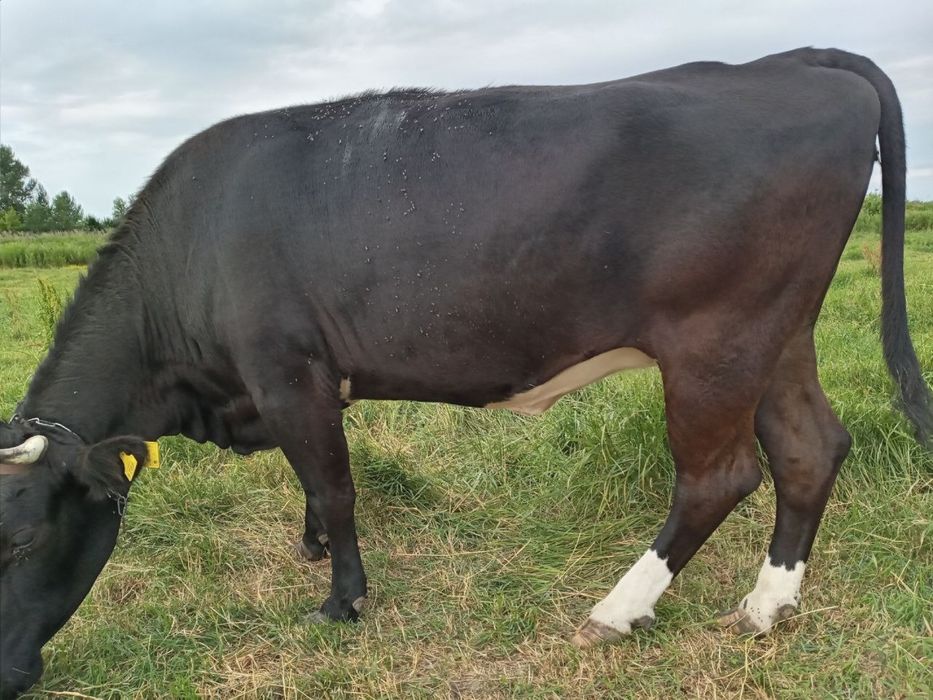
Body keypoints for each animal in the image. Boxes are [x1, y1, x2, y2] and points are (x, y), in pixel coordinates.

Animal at [1, 46, 930, 698]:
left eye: (20, 539)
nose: (8, 676)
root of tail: (789, 60)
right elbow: (312, 484)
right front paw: (311, 547)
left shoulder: (287, 370)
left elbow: (334, 484)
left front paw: (341, 599)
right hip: (780, 334)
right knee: (808, 449)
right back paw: (766, 606)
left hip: (713, 342)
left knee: (719, 476)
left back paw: (614, 611)